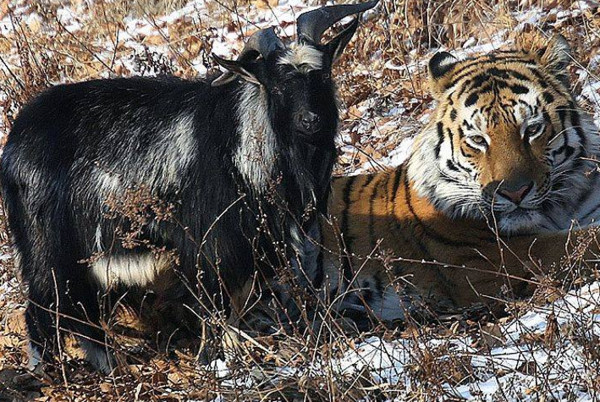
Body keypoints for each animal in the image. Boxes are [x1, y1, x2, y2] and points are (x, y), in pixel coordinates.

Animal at [0, 0, 378, 374]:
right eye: (277, 87)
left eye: (322, 76)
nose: (310, 121)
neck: (244, 140)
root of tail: (16, 141)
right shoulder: (211, 245)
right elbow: (216, 309)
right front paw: (215, 362)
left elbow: (234, 311)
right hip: (48, 250)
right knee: (43, 312)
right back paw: (50, 373)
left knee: (83, 316)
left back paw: (112, 367)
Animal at [322, 33, 600, 324]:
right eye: (478, 139)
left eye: (533, 129)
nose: (514, 193)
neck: (560, 209)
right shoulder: (493, 260)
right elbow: (580, 243)